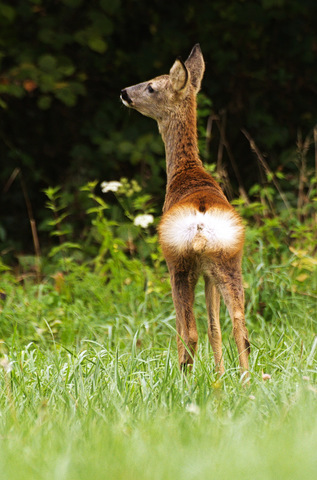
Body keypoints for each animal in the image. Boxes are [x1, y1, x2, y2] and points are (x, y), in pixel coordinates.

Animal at [120, 44, 249, 376]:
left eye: (152, 86)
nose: (124, 92)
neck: (187, 171)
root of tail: (201, 224)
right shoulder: (210, 273)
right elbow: (215, 327)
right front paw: (220, 375)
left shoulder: (177, 265)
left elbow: (191, 329)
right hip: (228, 260)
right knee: (239, 326)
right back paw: (247, 380)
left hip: (178, 262)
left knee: (187, 331)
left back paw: (179, 380)